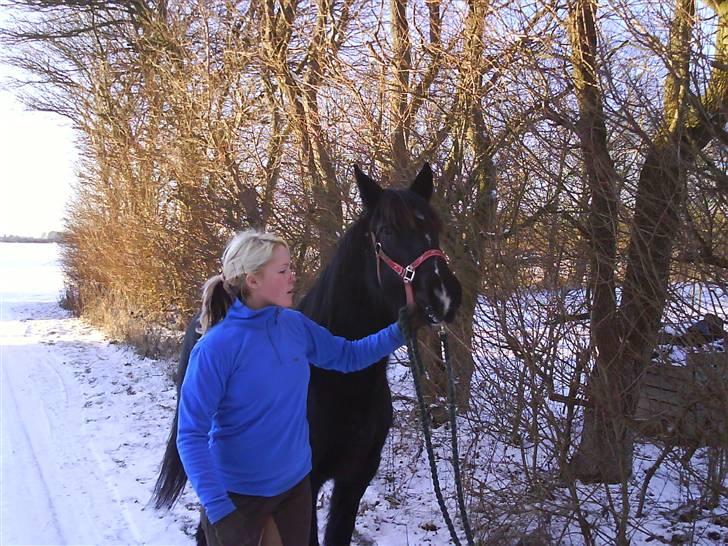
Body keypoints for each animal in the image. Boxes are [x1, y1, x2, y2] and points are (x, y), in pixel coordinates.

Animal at [152, 163, 462, 545]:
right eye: (387, 230)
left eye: (434, 227)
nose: (443, 294)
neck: (339, 383)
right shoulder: (308, 484)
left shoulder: (354, 480)